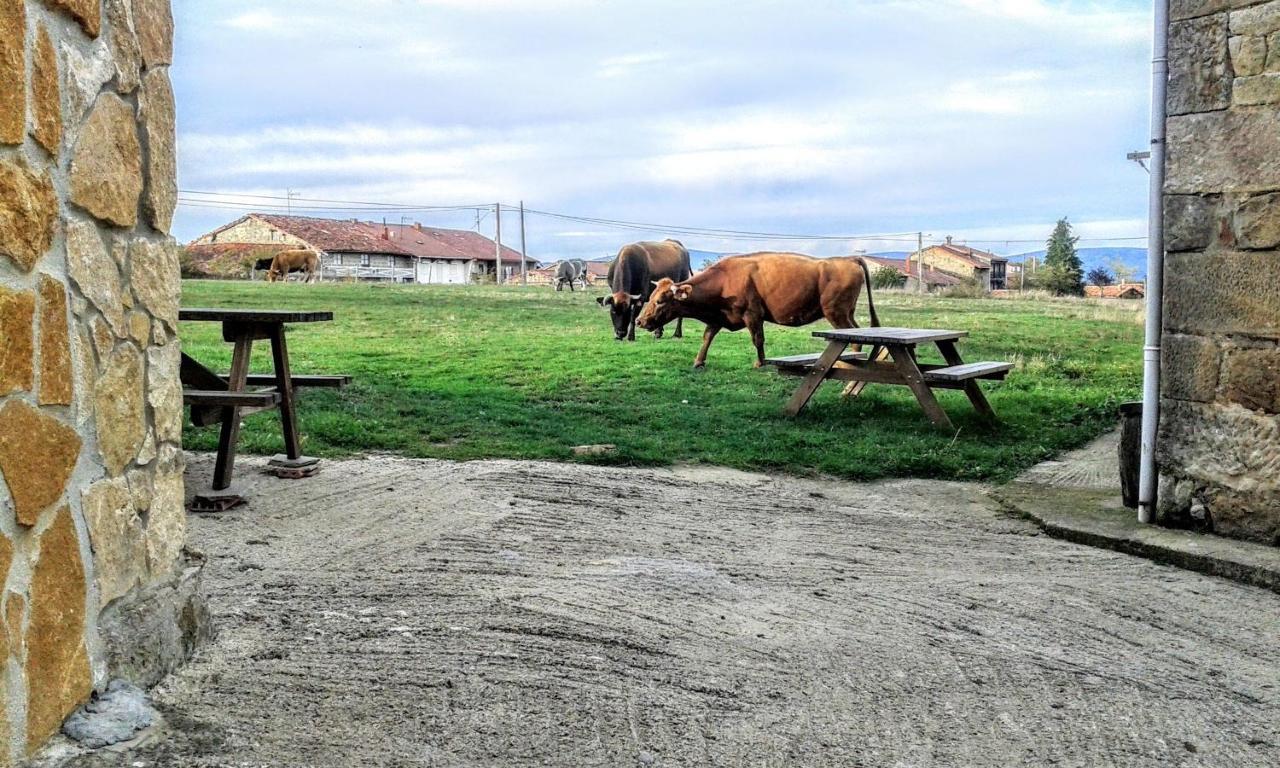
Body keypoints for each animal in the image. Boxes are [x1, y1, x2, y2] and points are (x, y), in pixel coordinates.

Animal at [632, 252, 875, 368]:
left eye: (661, 300)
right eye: (651, 298)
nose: (639, 321)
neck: (724, 281)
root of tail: (848, 259)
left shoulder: (753, 315)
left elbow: (758, 339)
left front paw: (760, 362)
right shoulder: (717, 317)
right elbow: (707, 337)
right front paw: (698, 361)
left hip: (835, 312)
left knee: (852, 335)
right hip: (846, 312)